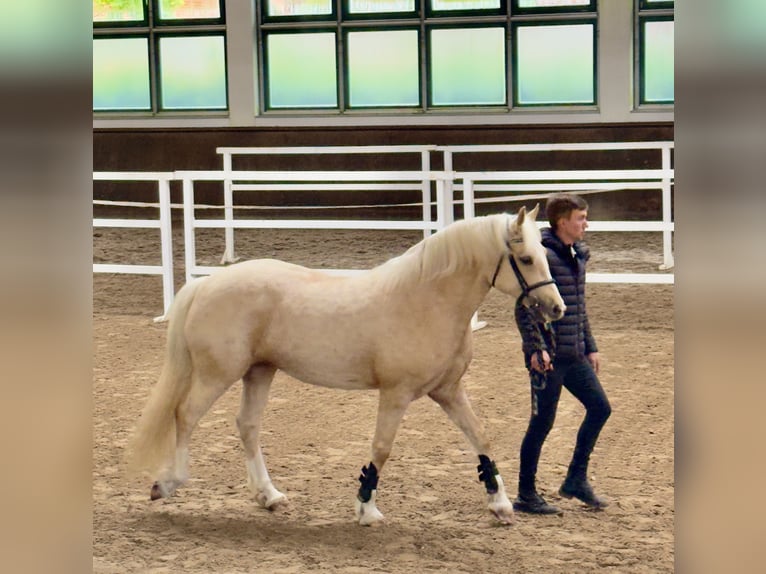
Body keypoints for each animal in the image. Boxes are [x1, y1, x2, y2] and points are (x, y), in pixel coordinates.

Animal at [126, 205, 565, 526]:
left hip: (260, 371)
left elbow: (481, 438)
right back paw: (168, 484)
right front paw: (366, 509)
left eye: (545, 255)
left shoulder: (448, 391)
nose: (556, 308)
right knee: (185, 415)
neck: (426, 300)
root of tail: (206, 284)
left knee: (247, 426)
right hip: (219, 374)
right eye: (526, 258)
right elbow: (381, 448)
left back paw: (270, 497)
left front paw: (500, 503)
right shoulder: (396, 394)